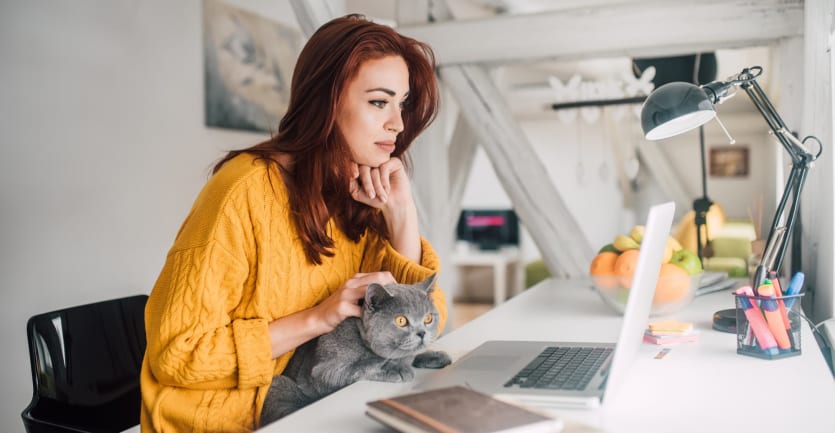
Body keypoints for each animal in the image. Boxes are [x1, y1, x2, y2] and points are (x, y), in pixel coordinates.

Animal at [260, 274, 450, 422]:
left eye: (428, 318)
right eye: (401, 320)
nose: (422, 333)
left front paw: (435, 356)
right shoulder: (323, 372)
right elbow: (363, 365)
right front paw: (396, 368)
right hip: (279, 384)